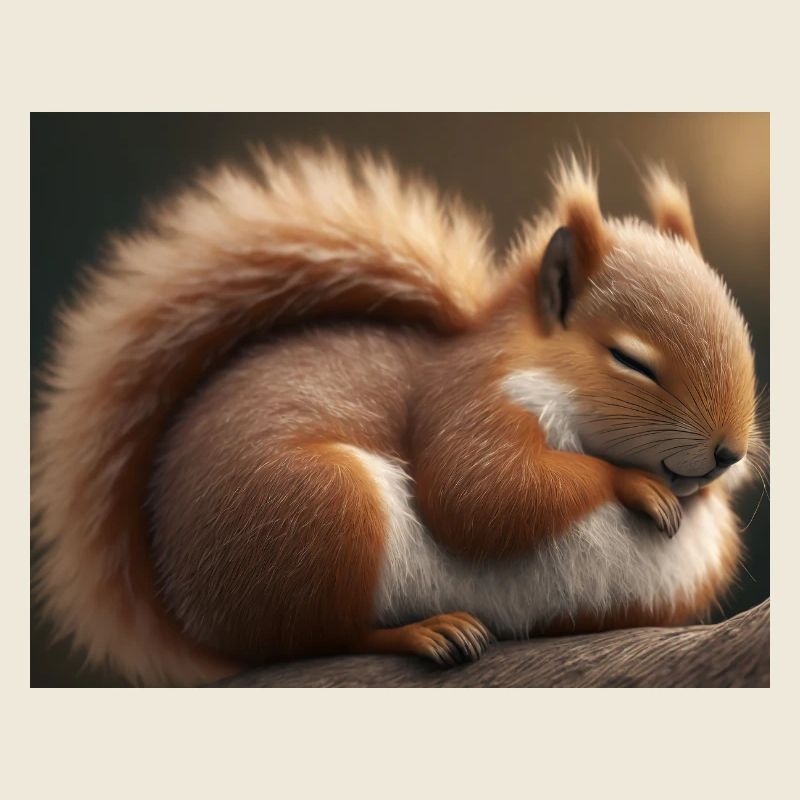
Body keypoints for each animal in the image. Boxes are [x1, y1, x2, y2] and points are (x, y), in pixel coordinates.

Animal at [32, 145, 765, 686]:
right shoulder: (465, 402)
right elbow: (480, 494)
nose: (727, 452)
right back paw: (427, 631)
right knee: (317, 638)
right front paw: (633, 484)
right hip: (322, 511)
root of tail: (188, 602)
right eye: (629, 360)